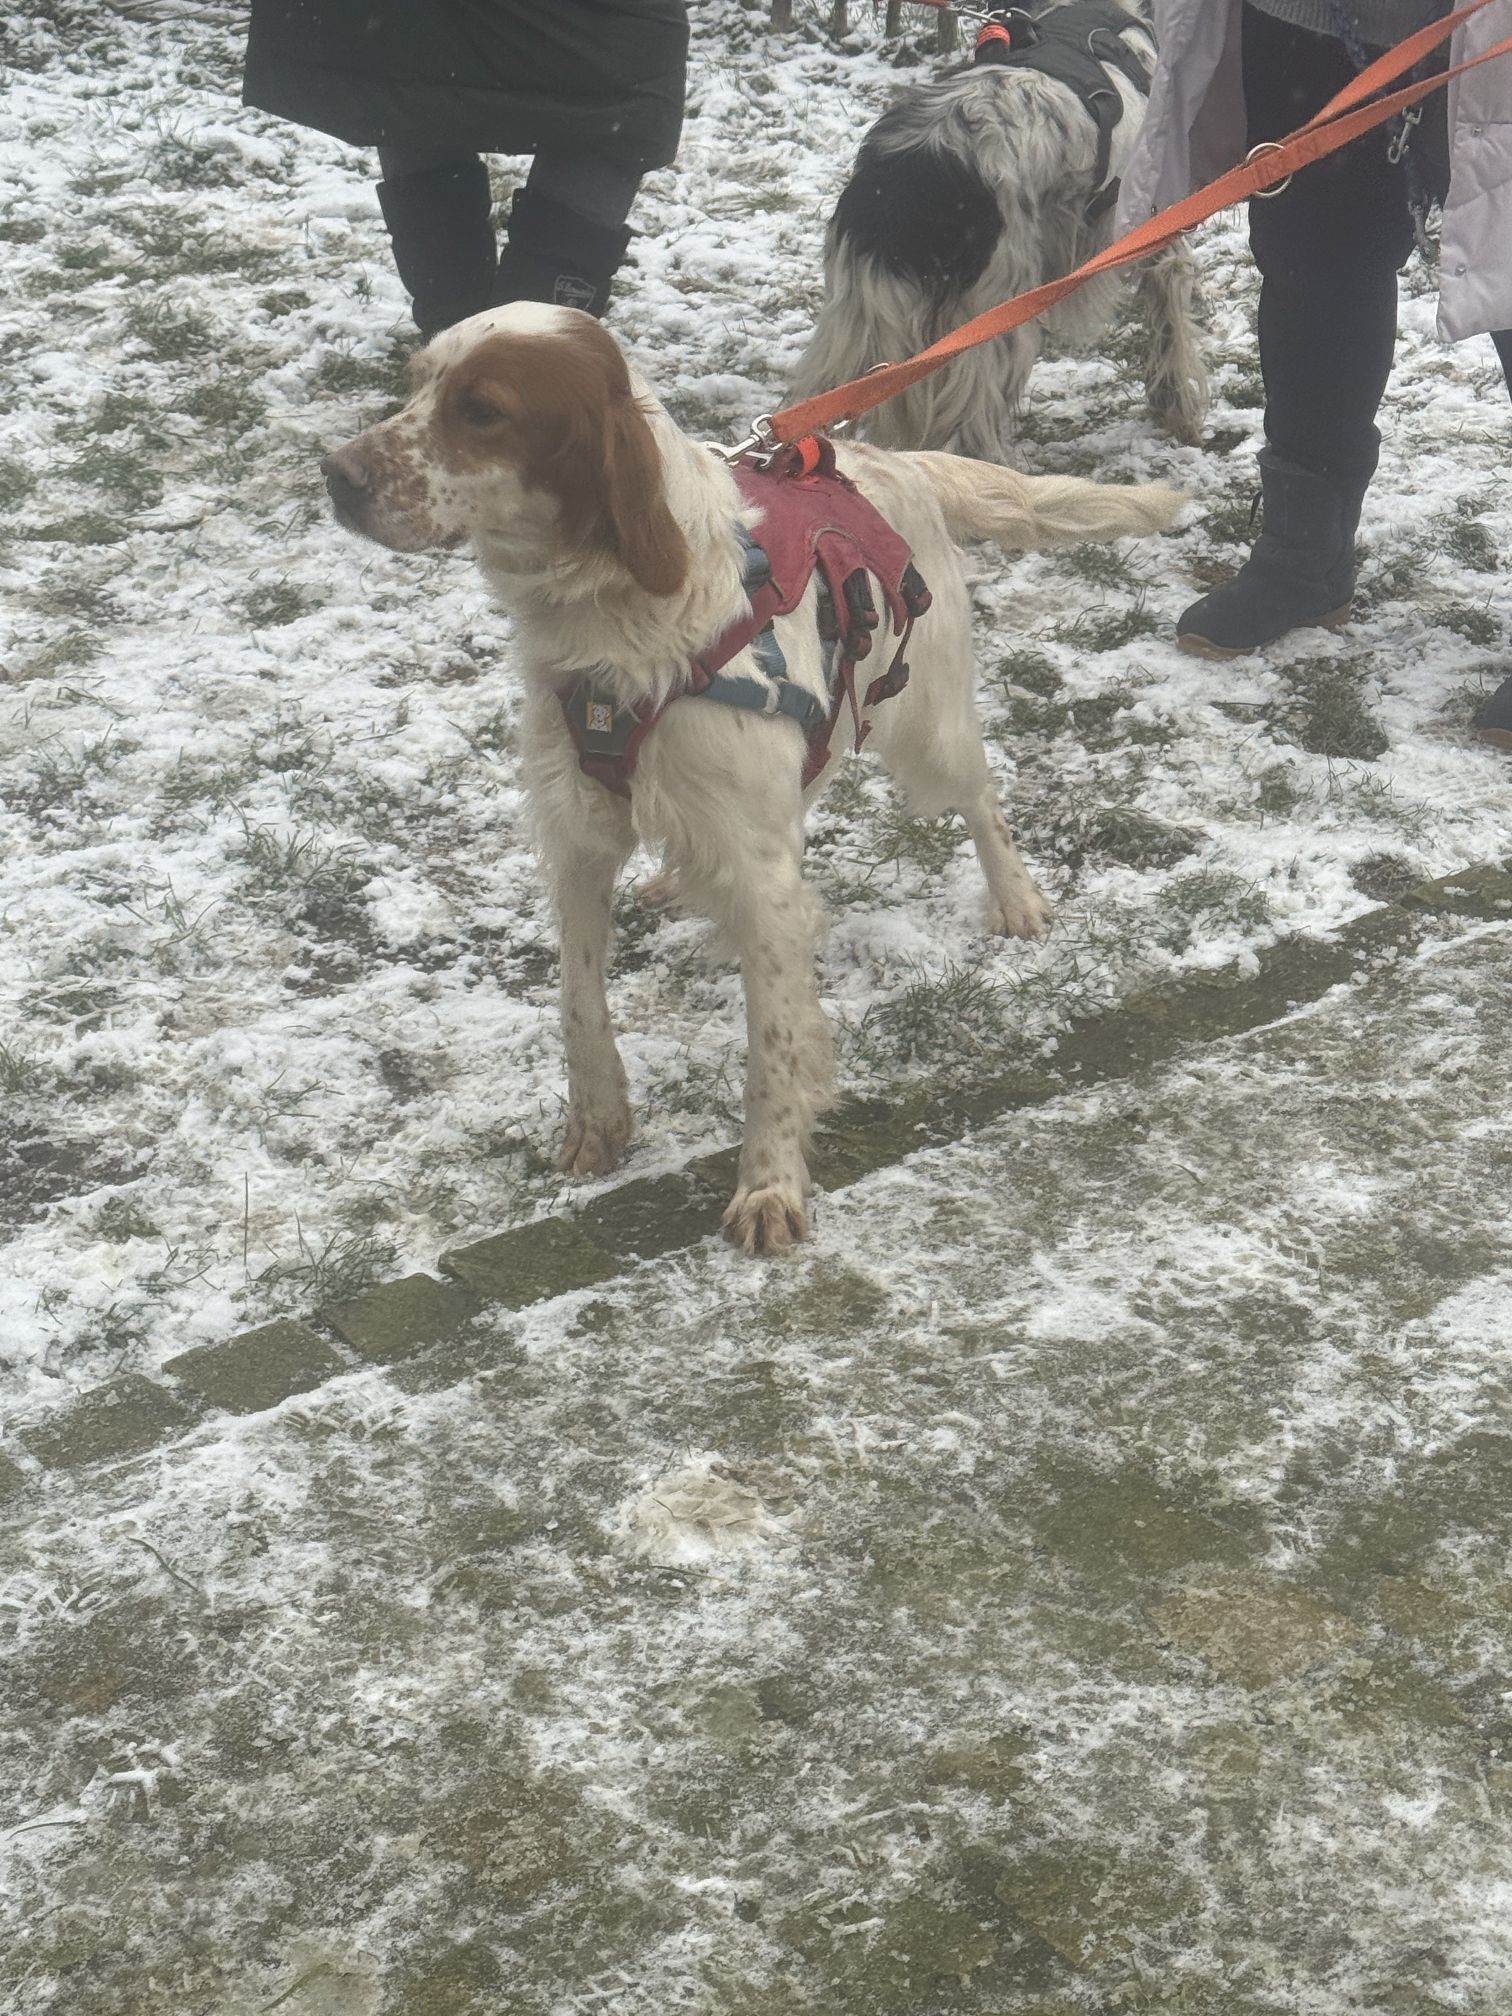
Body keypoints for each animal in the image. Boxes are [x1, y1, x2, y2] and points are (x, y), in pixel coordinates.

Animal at [322, 302, 1181, 1254]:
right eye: (417, 384)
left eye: (482, 411)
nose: (336, 474)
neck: (625, 618)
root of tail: (896, 462)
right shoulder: (578, 834)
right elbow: (580, 1002)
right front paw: (599, 1122)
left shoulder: (762, 880)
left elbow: (772, 1046)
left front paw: (770, 1188)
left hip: (930, 728)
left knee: (981, 799)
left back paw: (1018, 900)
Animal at [788, 0, 1208, 461]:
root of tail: (919, 171)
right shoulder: (1154, 231)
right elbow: (1170, 325)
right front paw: (1176, 411)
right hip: (994, 327)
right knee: (971, 437)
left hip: (854, 328)